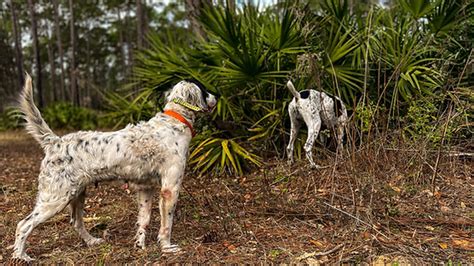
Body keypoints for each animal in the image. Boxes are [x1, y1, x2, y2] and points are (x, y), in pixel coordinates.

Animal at [10, 74, 217, 260]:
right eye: (204, 89)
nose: (217, 96)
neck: (174, 121)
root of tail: (55, 142)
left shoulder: (145, 188)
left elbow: (144, 220)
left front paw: (139, 244)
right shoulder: (170, 188)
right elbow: (167, 225)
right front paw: (167, 247)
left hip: (77, 194)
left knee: (76, 222)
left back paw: (92, 241)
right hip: (55, 198)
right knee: (23, 224)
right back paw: (21, 256)